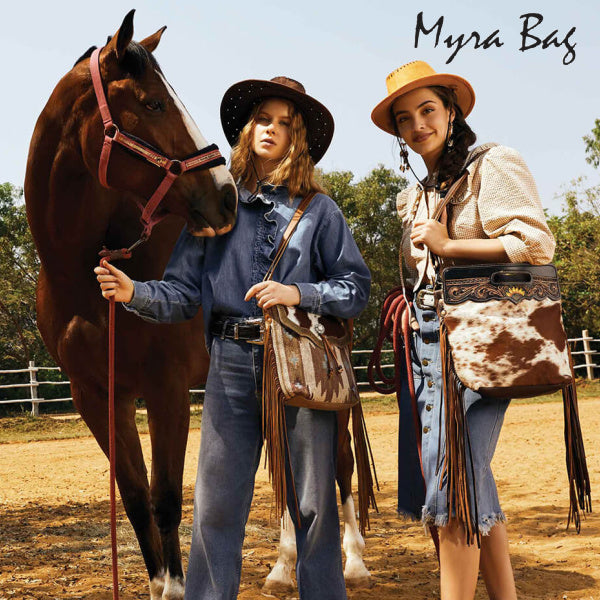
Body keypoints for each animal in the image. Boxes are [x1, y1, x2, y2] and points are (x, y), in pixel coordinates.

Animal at [24, 11, 236, 600]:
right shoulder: (99, 397)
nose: (226, 195)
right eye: (154, 104)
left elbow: (166, 500)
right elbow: (138, 499)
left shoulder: (166, 390)